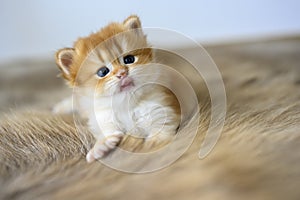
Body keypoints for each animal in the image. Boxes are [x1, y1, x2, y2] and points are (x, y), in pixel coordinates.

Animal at [53, 15, 180, 162]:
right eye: (103, 72)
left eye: (129, 59)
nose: (122, 73)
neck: (126, 104)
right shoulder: (103, 118)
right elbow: (107, 133)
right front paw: (101, 146)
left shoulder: (162, 109)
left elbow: (160, 130)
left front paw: (153, 143)